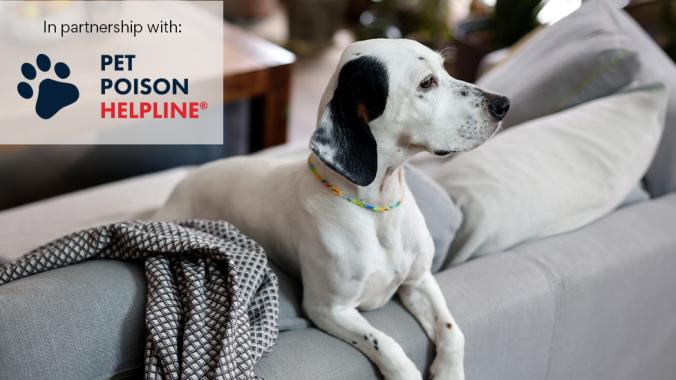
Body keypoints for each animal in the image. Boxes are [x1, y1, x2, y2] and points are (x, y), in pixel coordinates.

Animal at [156, 39, 510, 380]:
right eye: (426, 82)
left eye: (444, 68)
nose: (503, 104)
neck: (378, 211)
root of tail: (179, 187)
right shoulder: (327, 309)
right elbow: (386, 343)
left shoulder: (419, 280)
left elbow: (452, 330)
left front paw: (449, 371)